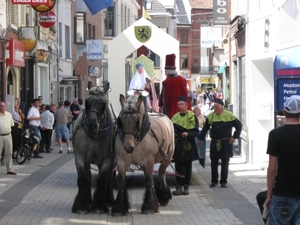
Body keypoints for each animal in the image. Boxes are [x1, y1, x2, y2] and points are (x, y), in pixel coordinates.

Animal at [71, 81, 116, 214]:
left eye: (103, 103)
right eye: (87, 102)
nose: (92, 123)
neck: (94, 136)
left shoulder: (107, 161)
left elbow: (102, 181)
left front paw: (99, 206)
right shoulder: (80, 158)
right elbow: (83, 180)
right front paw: (81, 205)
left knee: (108, 179)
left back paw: (108, 199)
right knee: (89, 178)